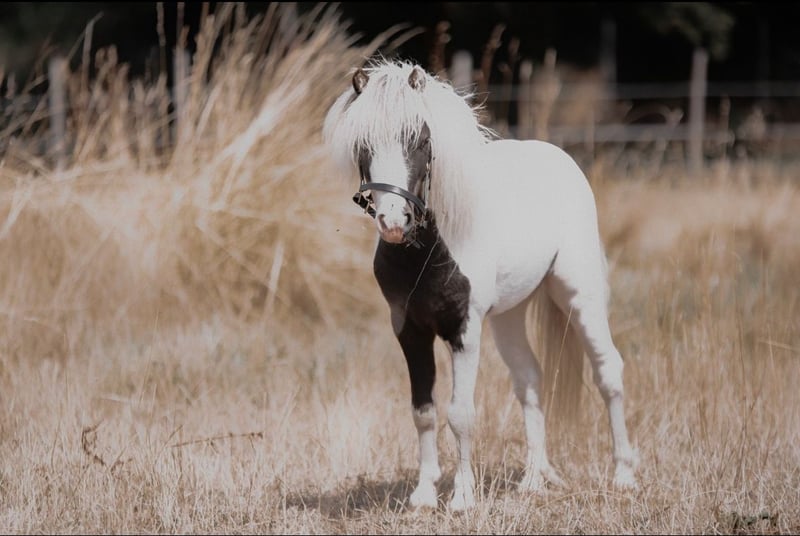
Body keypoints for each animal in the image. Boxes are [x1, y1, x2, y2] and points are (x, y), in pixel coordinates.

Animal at [322, 59, 639, 511]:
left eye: (420, 139)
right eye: (362, 144)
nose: (394, 222)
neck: (429, 250)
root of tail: (562, 159)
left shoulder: (464, 329)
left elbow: (461, 414)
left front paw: (462, 498)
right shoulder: (408, 330)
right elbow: (423, 410)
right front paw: (424, 494)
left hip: (580, 296)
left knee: (608, 372)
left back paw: (623, 475)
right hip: (510, 316)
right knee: (530, 379)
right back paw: (534, 479)